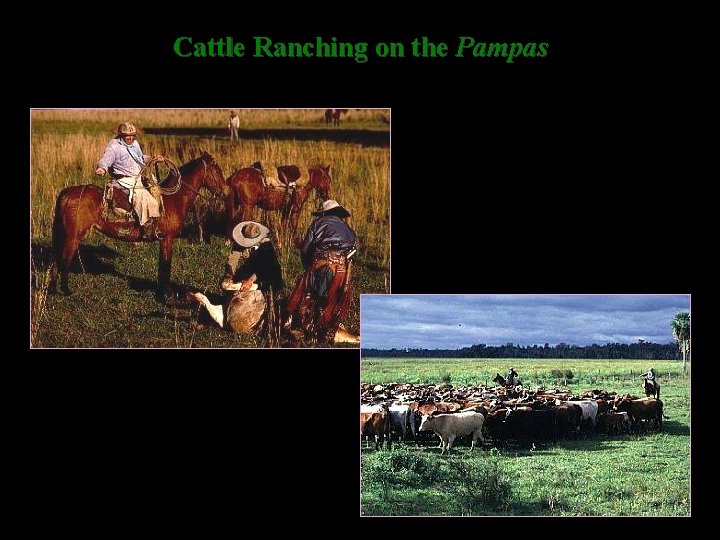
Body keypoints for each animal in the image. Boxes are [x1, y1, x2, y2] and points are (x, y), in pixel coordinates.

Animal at [48, 152, 225, 302]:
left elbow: (162, 266)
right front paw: (165, 295)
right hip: (73, 236)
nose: (224, 191)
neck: (174, 199)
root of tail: (68, 193)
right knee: (65, 259)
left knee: (56, 258)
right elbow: (165, 265)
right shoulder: (167, 238)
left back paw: (52, 289)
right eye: (216, 170)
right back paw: (66, 290)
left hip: (64, 235)